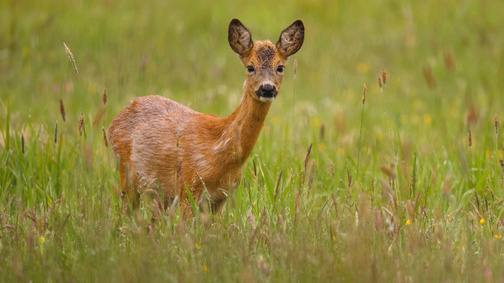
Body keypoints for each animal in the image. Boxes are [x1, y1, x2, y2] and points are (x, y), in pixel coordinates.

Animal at [108, 18, 304, 215]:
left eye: (280, 67)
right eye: (250, 67)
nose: (267, 88)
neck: (218, 150)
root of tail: (114, 121)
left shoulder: (221, 197)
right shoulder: (187, 187)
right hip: (126, 173)